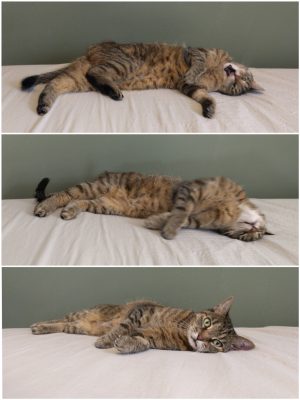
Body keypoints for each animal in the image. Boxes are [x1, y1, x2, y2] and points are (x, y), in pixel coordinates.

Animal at [21, 42, 262, 117]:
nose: (235, 74)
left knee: (54, 83)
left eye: (238, 86)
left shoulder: (188, 87)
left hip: (78, 79)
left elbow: (203, 96)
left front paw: (210, 108)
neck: (217, 73)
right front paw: (196, 71)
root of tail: (90, 50)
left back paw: (43, 105)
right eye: (243, 80)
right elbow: (198, 66)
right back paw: (113, 92)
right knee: (94, 73)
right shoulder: (198, 53)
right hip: (124, 63)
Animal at [30, 296, 254, 354]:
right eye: (207, 322)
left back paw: (41, 328)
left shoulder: (155, 338)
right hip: (85, 313)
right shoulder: (141, 312)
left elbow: (143, 342)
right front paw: (106, 341)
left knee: (64, 324)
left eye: (217, 343)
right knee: (60, 318)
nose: (199, 337)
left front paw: (126, 344)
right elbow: (122, 328)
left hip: (81, 326)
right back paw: (39, 325)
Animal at [33, 171, 270, 241]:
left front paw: (158, 222)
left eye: (247, 238)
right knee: (63, 194)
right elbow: (181, 213)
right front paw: (168, 230)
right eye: (252, 235)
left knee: (78, 201)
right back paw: (44, 207)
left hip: (104, 204)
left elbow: (184, 219)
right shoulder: (190, 190)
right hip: (94, 187)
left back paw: (69, 211)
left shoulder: (198, 219)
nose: (253, 229)